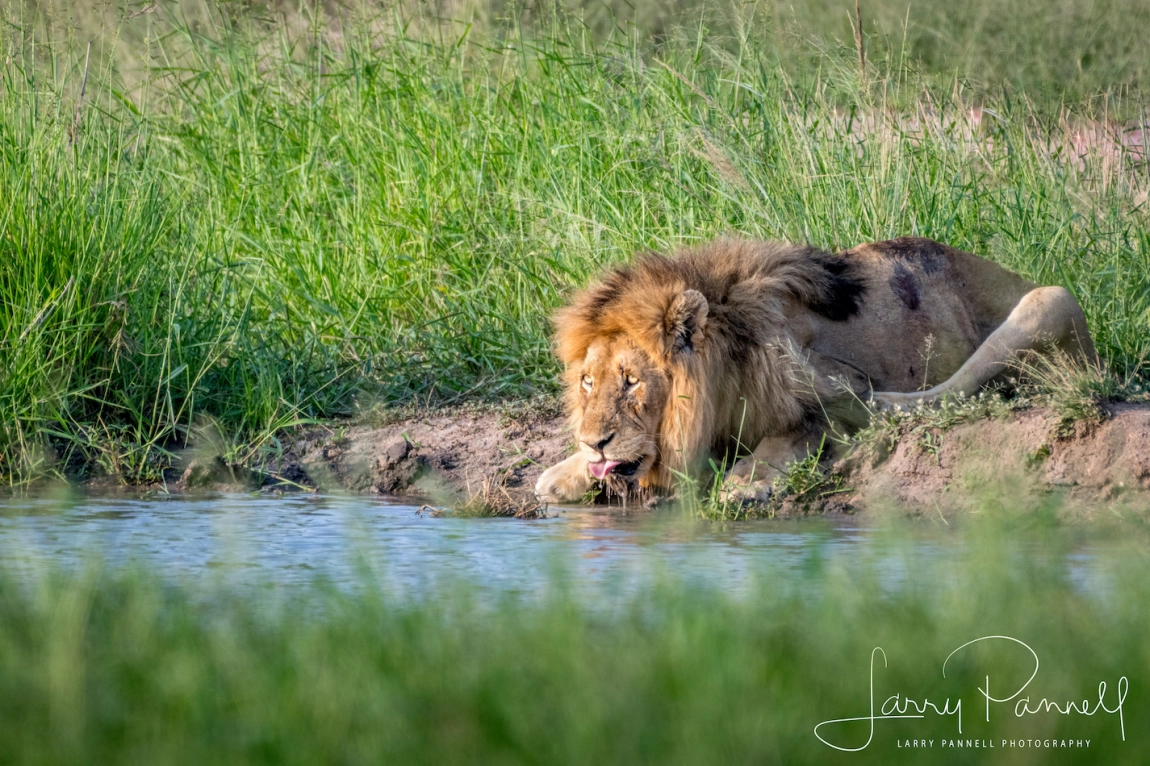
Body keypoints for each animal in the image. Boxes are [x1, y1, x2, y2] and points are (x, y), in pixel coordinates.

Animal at [531, 235, 1094, 503]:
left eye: (632, 382)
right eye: (588, 382)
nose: (594, 442)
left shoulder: (832, 391)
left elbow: (787, 437)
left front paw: (746, 482)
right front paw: (563, 472)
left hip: (1051, 298)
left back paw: (890, 407)